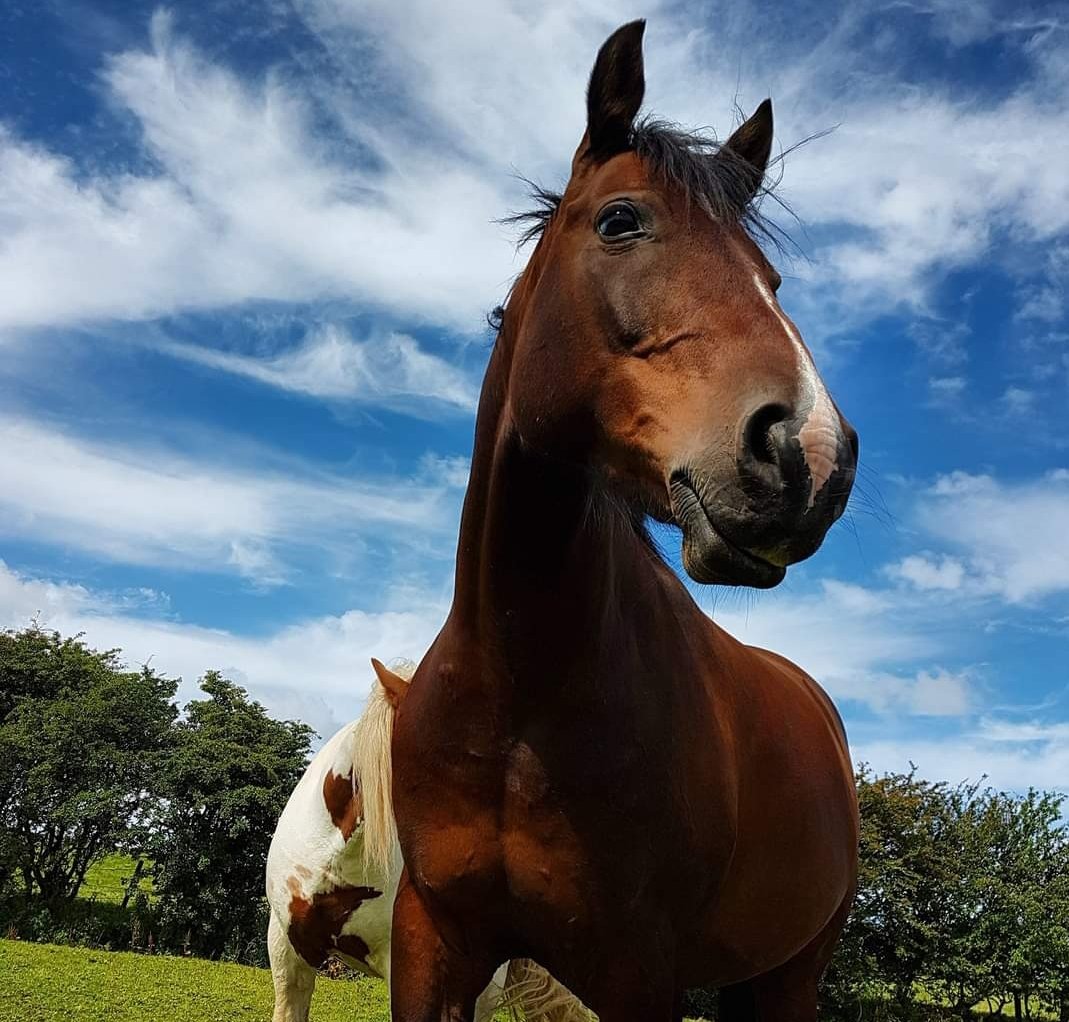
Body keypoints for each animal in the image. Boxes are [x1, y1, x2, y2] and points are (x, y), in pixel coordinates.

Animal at [389, 20, 860, 1022]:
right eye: (619, 222)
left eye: (769, 278)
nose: (811, 453)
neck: (516, 690)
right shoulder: (431, 943)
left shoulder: (639, 972)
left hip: (792, 974)